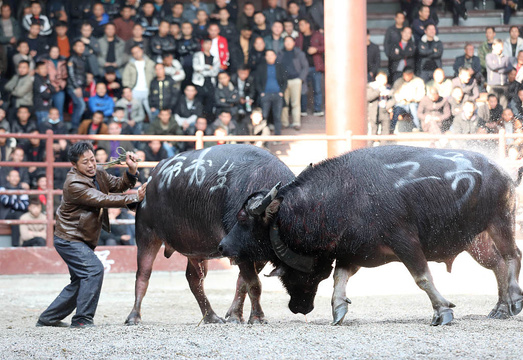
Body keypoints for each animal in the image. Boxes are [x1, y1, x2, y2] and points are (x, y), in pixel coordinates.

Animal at [124, 145, 294, 324]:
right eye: (241, 218)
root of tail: (150, 181)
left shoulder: (259, 256)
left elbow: (242, 282)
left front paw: (235, 315)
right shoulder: (241, 253)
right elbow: (254, 284)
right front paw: (257, 317)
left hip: (195, 248)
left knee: (194, 279)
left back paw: (211, 316)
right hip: (146, 234)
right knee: (143, 274)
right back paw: (134, 317)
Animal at [219, 146, 523, 326]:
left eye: (243, 218)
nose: (223, 246)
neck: (339, 196)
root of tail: (502, 170)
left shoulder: (405, 241)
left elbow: (423, 278)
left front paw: (442, 311)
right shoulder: (352, 251)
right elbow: (339, 278)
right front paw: (338, 309)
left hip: (500, 221)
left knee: (512, 256)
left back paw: (514, 300)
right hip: (479, 238)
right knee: (498, 263)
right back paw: (500, 307)